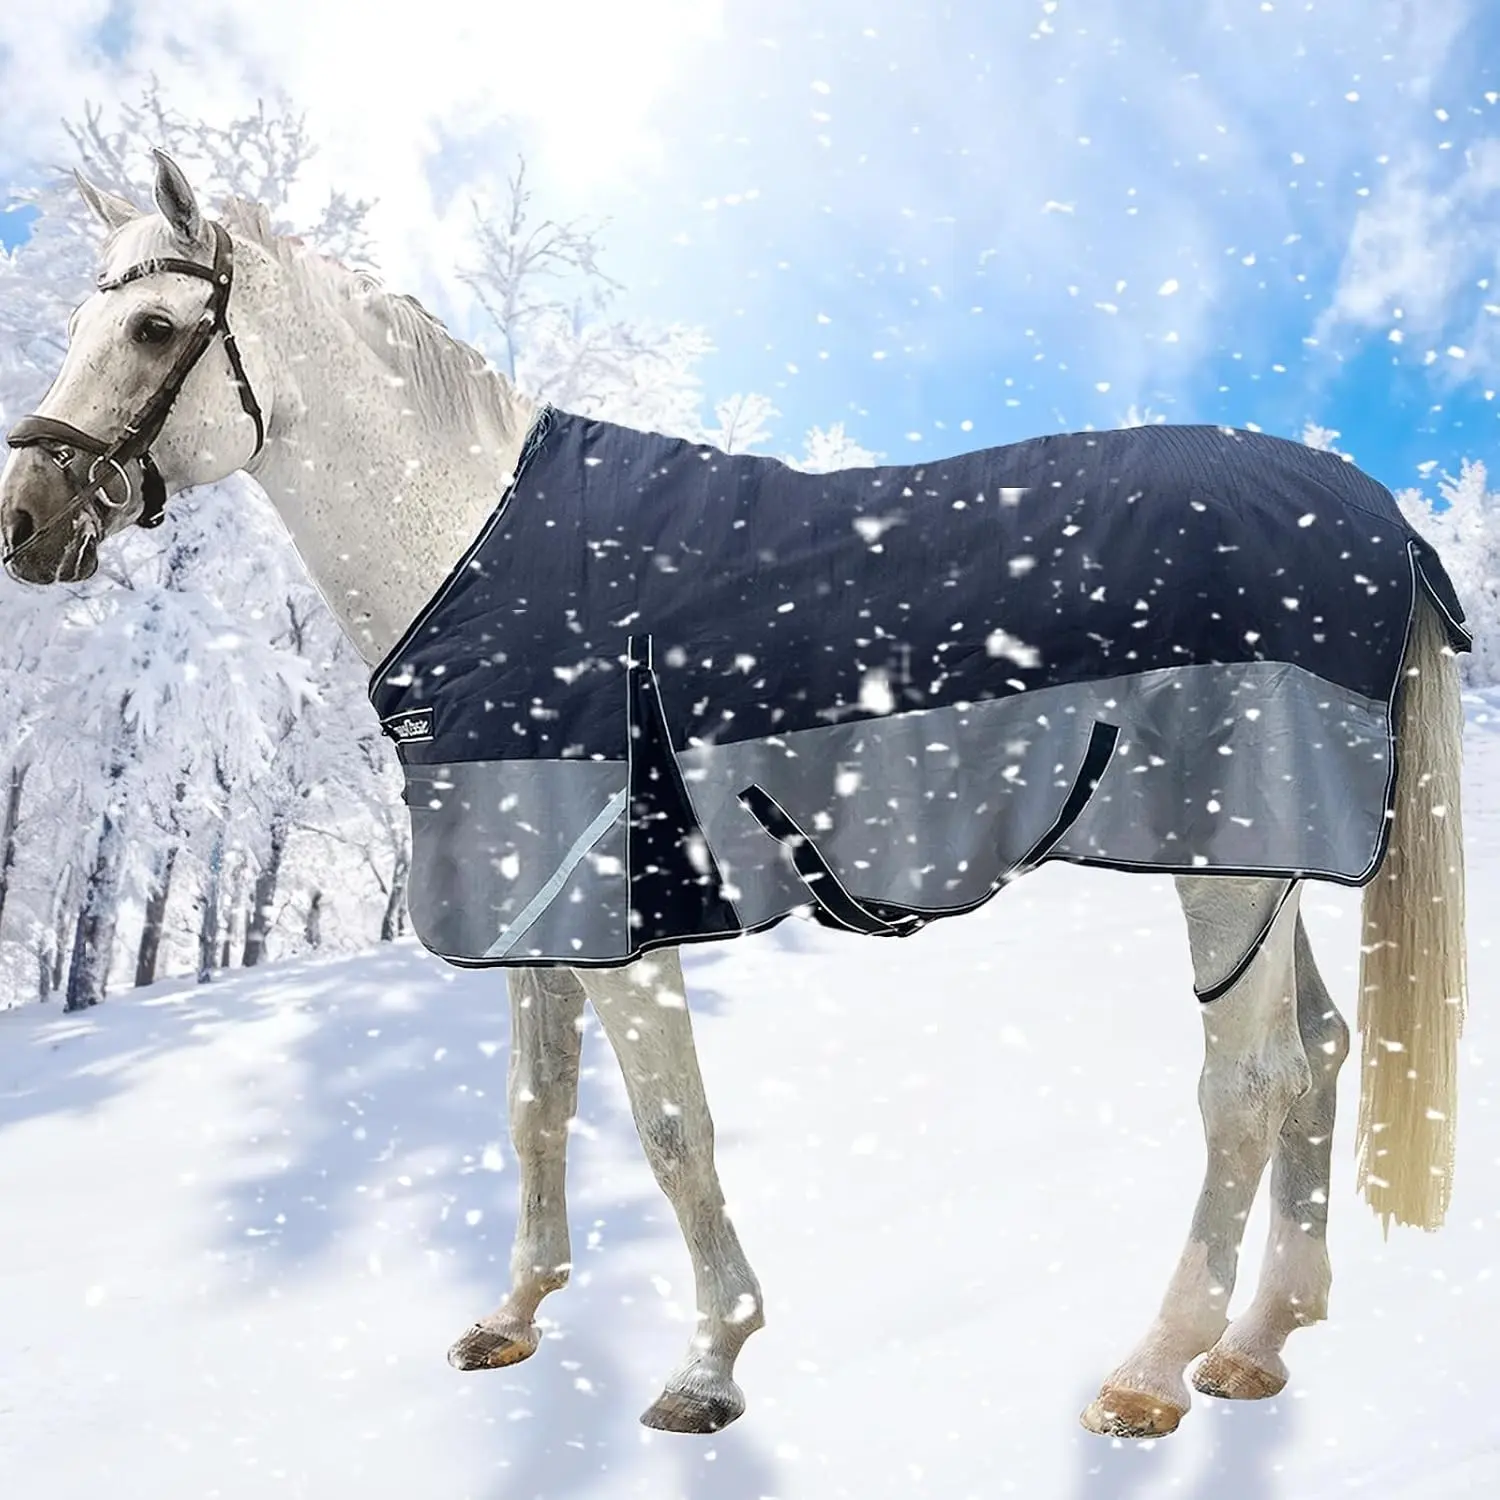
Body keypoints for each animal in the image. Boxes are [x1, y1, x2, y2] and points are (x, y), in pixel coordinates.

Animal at [0, 151, 1468, 1441]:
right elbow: (536, 1108)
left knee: (1250, 1084)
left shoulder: (620, 907)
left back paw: (1154, 1372)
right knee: (1321, 1056)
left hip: (1227, 860)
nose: (24, 522)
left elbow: (669, 1128)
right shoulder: (537, 895)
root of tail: (1373, 514)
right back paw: (1260, 1343)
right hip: (1269, 865)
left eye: (150, 326)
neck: (480, 547)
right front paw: (515, 1315)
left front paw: (709, 1366)